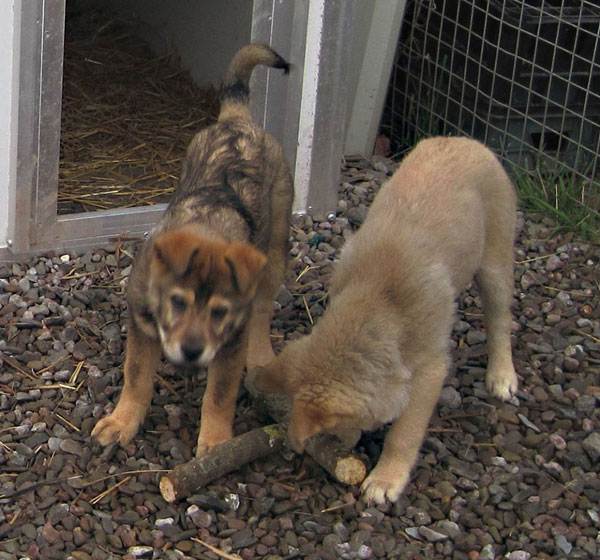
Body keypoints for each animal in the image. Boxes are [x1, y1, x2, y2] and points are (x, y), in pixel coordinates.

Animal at [92, 43, 296, 456]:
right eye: (178, 302)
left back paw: (261, 358)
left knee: (263, 308)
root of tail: (237, 118)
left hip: (276, 246)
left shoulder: (230, 341)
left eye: (219, 312)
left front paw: (215, 445)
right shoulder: (142, 324)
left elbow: (219, 394)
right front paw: (121, 422)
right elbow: (135, 376)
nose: (191, 352)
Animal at [255, 136, 516, 504]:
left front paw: (386, 477)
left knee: (500, 320)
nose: (336, 448)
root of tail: (461, 140)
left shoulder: (429, 371)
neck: (378, 299)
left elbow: (404, 432)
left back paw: (502, 375)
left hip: (495, 261)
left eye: (331, 427)